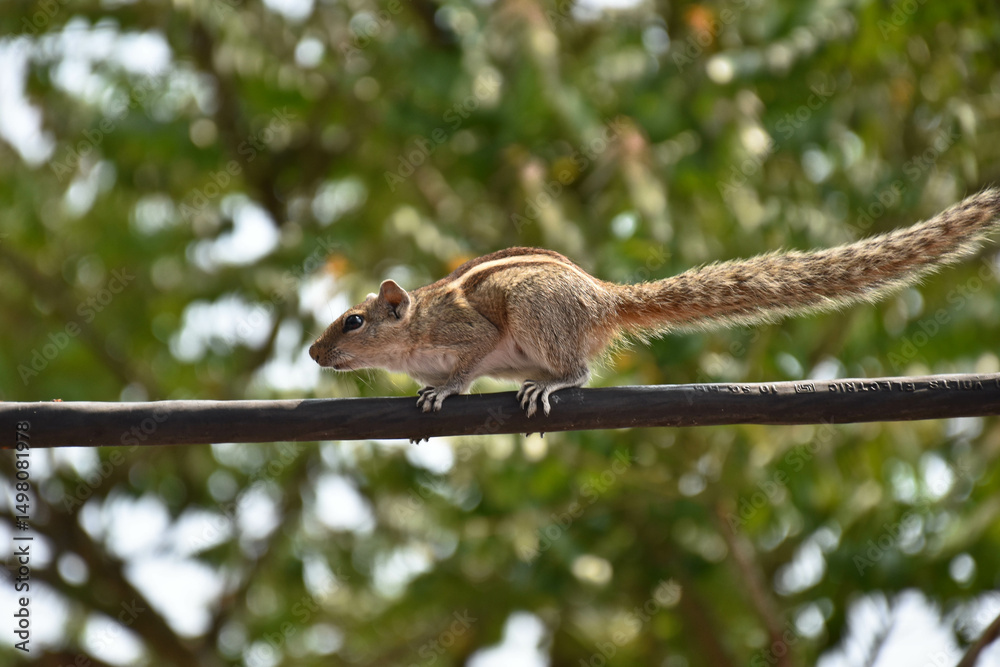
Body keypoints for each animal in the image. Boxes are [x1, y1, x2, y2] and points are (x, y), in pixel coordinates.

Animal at [310, 189, 1000, 417]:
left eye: (353, 321)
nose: (314, 352)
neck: (415, 333)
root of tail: (603, 301)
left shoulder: (465, 334)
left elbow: (464, 363)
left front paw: (445, 391)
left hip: (537, 316)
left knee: (577, 370)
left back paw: (552, 384)